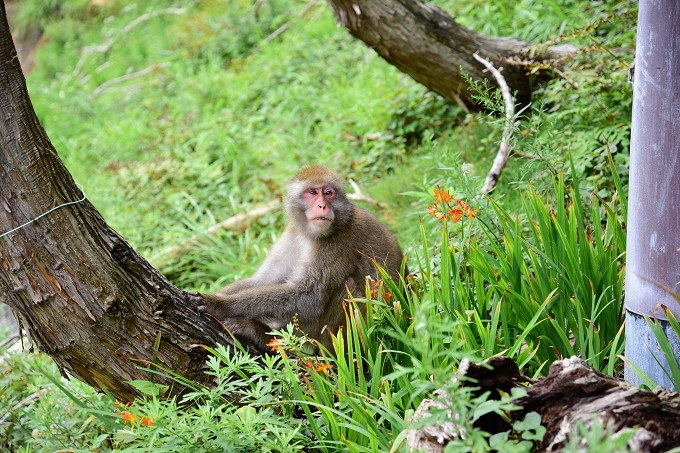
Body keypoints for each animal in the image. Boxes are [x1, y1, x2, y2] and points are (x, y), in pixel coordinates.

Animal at [197, 166, 406, 354]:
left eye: (328, 193)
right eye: (312, 192)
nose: (322, 205)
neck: (311, 234)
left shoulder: (337, 244)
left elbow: (309, 297)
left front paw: (221, 305)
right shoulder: (293, 233)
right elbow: (264, 280)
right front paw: (217, 296)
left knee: (349, 287)